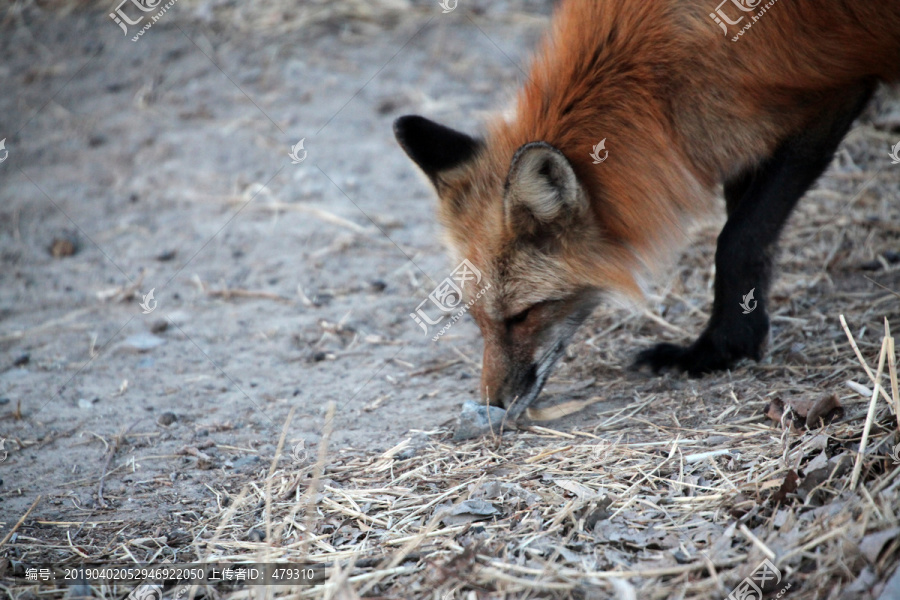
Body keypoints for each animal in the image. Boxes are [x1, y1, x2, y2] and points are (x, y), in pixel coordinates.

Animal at [394, 1, 900, 422]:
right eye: (475, 317)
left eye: (523, 315)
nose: (493, 405)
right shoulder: (739, 127)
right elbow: (751, 230)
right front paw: (742, 332)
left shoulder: (831, 93)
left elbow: (737, 239)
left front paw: (718, 349)